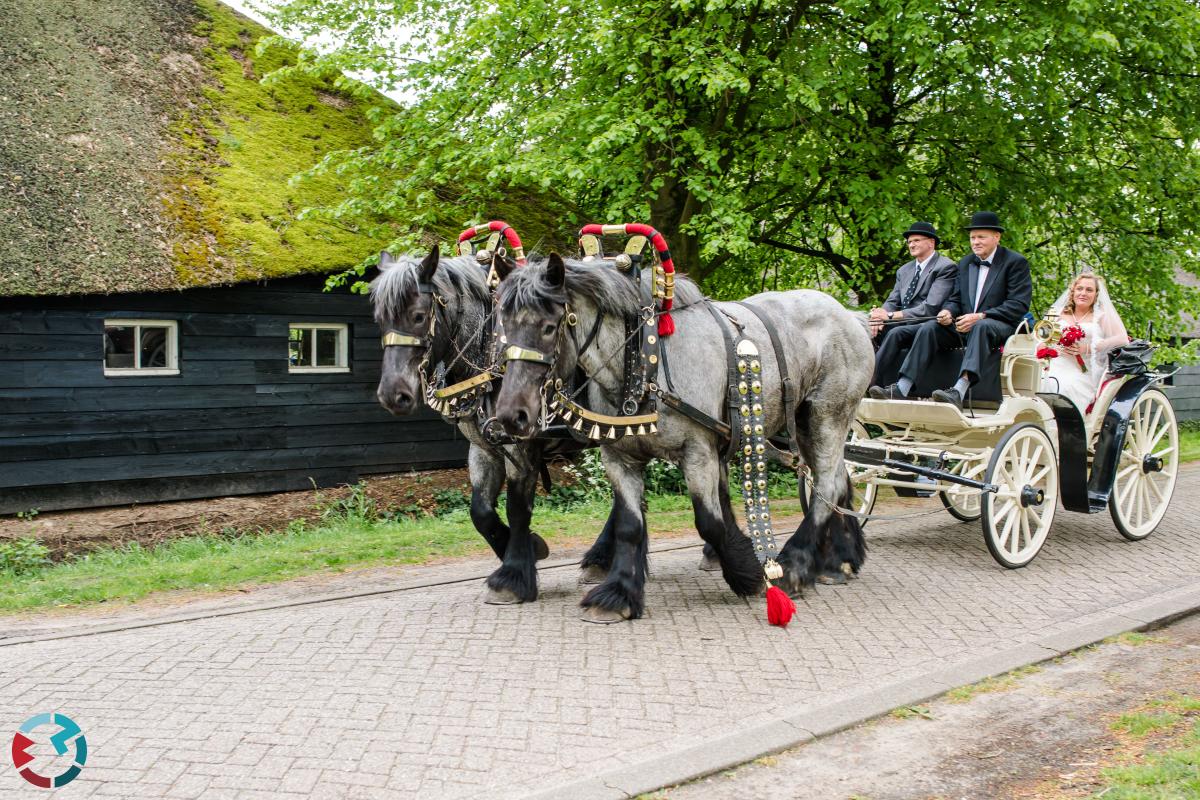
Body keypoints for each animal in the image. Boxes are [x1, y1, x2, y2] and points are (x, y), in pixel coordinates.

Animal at [372, 247, 619, 604]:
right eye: (380, 319)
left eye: (418, 317)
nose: (393, 395)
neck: (491, 358)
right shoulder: (483, 448)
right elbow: (481, 511)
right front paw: (525, 550)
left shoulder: (522, 447)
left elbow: (517, 507)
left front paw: (513, 575)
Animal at [492, 256, 868, 623]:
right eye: (502, 327)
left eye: (548, 327)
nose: (512, 415)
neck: (644, 363)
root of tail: (851, 316)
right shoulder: (619, 458)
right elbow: (629, 525)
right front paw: (618, 594)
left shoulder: (698, 452)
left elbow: (709, 522)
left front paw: (747, 573)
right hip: (806, 423)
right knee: (838, 480)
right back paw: (838, 561)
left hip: (827, 415)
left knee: (825, 487)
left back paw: (794, 565)